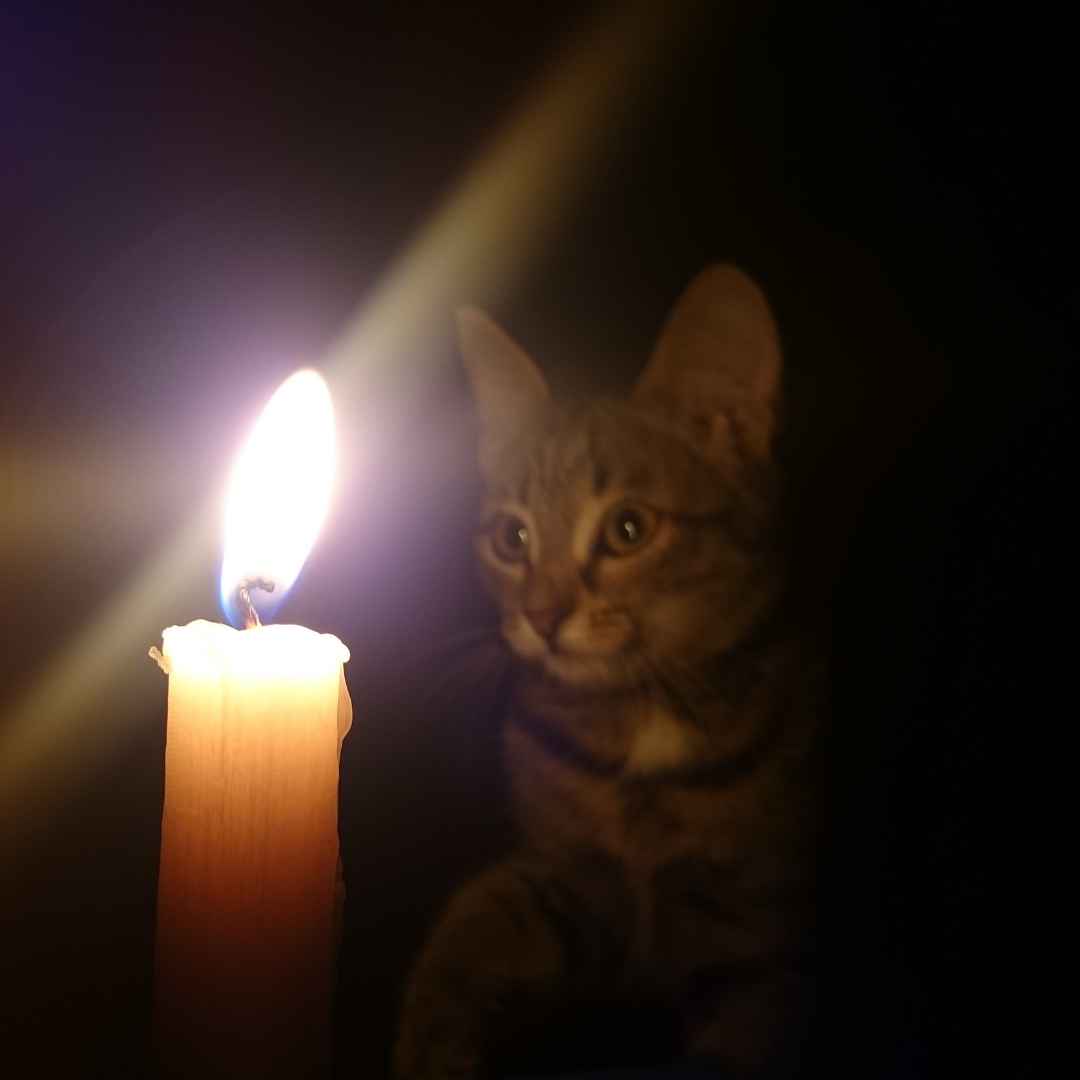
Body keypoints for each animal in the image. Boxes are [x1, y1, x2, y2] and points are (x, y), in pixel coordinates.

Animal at [393, 263, 820, 1080]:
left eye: (628, 529)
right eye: (512, 538)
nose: (541, 615)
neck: (641, 715)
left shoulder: (755, 939)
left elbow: (746, 1030)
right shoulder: (582, 894)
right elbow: (486, 904)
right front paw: (434, 1013)